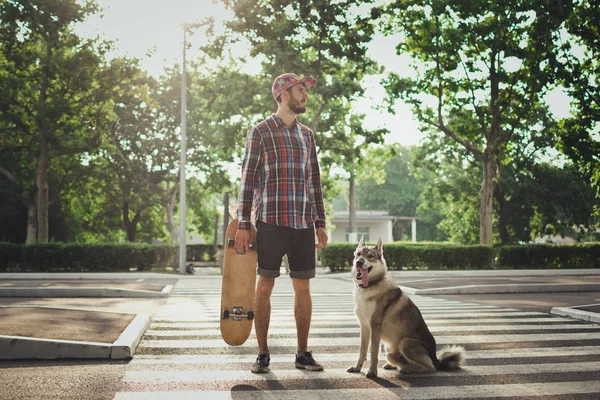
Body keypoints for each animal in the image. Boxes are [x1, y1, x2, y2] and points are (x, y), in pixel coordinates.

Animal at [344, 238, 466, 378]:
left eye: (370, 256)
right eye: (358, 254)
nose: (359, 262)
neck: (370, 286)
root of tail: (436, 358)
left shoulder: (375, 327)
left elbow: (373, 353)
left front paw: (372, 372)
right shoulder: (364, 327)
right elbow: (362, 351)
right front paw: (357, 368)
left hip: (405, 343)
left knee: (430, 367)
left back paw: (408, 370)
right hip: (389, 350)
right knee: (404, 362)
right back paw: (396, 366)